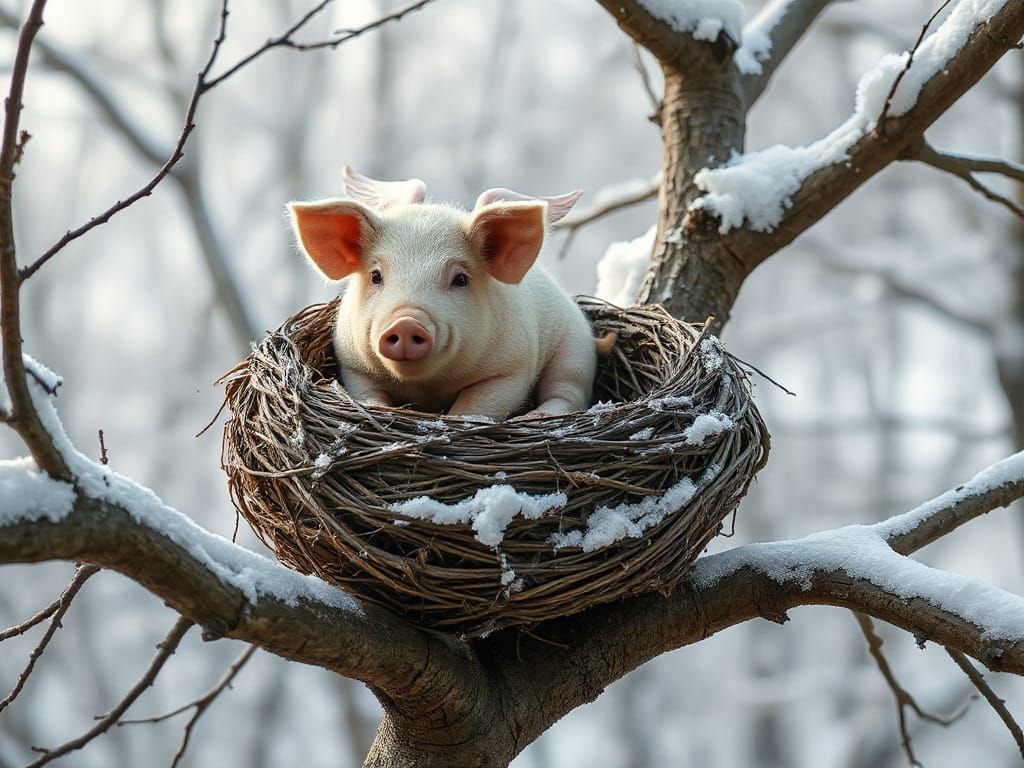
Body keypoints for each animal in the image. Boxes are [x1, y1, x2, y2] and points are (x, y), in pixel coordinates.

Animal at [288, 167, 610, 421]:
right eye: (376, 276)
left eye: (460, 279)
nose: (406, 322)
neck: (429, 387)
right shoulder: (353, 363)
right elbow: (368, 395)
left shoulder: (511, 369)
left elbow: (476, 406)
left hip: (575, 350)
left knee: (568, 393)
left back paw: (534, 416)